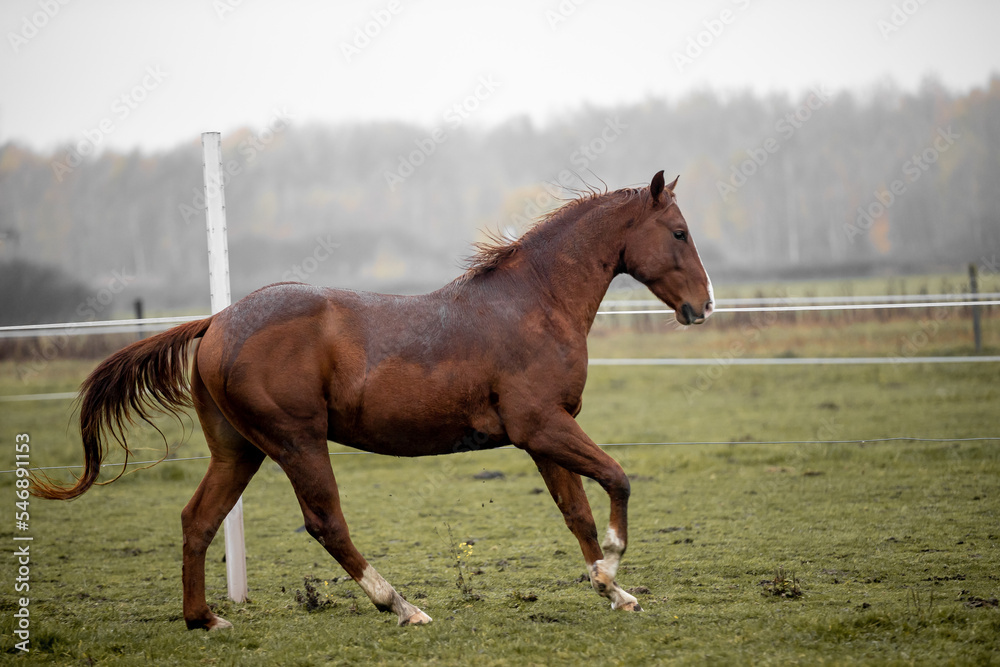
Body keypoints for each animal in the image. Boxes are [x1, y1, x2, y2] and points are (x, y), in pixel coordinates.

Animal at [33, 170, 714, 629]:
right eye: (679, 232)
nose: (703, 306)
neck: (534, 303)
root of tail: (216, 322)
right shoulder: (542, 427)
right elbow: (618, 479)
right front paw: (613, 568)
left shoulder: (546, 434)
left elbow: (577, 512)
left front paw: (612, 590)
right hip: (297, 441)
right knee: (326, 522)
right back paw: (402, 606)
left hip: (239, 451)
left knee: (198, 520)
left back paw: (205, 619)